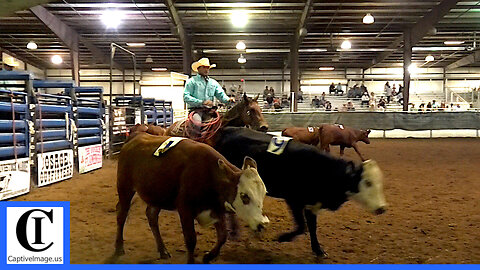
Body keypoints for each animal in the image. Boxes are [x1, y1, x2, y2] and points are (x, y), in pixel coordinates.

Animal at [112, 133, 270, 264]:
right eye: (244, 196)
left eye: (264, 194)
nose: (262, 224)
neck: (210, 175)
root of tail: (135, 138)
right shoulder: (185, 210)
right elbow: (191, 240)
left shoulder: (216, 209)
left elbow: (222, 236)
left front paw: (208, 257)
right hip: (125, 186)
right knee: (121, 214)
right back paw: (119, 249)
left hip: (157, 195)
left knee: (151, 216)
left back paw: (163, 251)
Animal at [212, 127, 388, 258]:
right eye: (368, 182)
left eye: (380, 183)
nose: (382, 208)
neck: (324, 171)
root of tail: (228, 130)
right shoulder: (294, 200)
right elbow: (302, 226)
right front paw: (283, 238)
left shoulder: (313, 204)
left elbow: (312, 227)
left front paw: (318, 250)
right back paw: (235, 232)